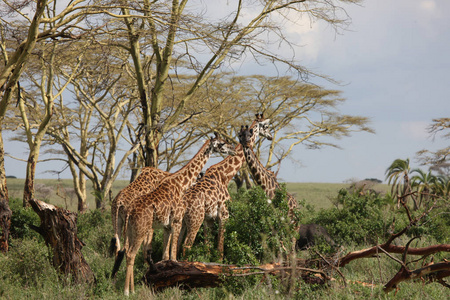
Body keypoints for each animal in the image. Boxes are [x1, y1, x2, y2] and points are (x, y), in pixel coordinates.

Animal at [112, 134, 236, 296]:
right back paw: (127, 291)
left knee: (124, 251)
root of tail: (129, 211)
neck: (181, 184)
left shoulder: (167, 226)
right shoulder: (177, 221)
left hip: (130, 230)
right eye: (222, 143)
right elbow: (174, 256)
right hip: (141, 230)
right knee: (131, 254)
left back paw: (131, 289)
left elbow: (166, 256)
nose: (233, 149)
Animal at [178, 113, 270, 258]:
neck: (225, 175)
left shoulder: (209, 219)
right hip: (195, 220)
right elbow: (220, 248)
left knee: (174, 245)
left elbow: (208, 247)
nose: (270, 136)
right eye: (266, 126)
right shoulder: (224, 215)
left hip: (181, 222)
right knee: (186, 246)